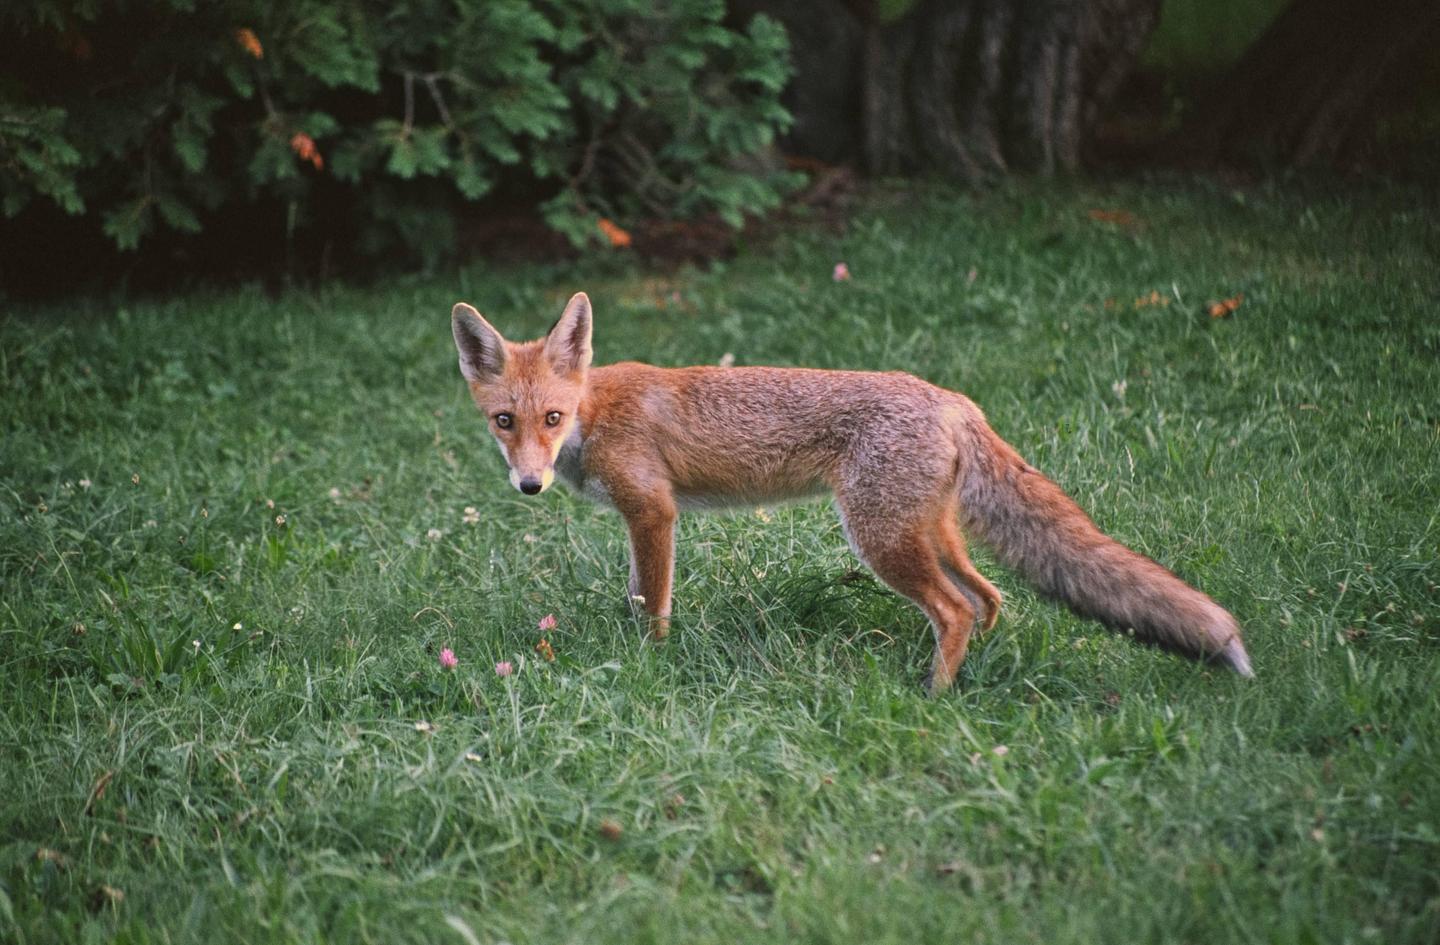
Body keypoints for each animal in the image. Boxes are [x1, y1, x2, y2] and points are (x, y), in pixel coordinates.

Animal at [451, 291, 1254, 692]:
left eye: (552, 419)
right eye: (504, 421)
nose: (529, 484)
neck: (594, 413)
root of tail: (954, 400)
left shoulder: (653, 510)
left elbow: (651, 605)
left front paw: (650, 664)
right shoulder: (641, 517)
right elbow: (634, 596)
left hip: (880, 540)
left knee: (956, 608)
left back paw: (933, 697)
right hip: (927, 533)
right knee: (989, 598)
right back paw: (976, 670)